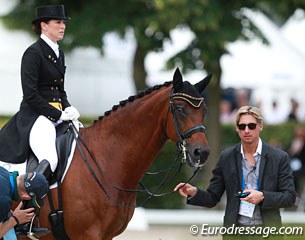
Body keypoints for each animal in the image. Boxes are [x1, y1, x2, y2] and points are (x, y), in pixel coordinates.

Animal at [33, 68, 210, 240]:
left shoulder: (107, 236)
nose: (202, 153)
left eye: (204, 111)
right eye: (180, 109)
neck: (104, 160)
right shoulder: (86, 234)